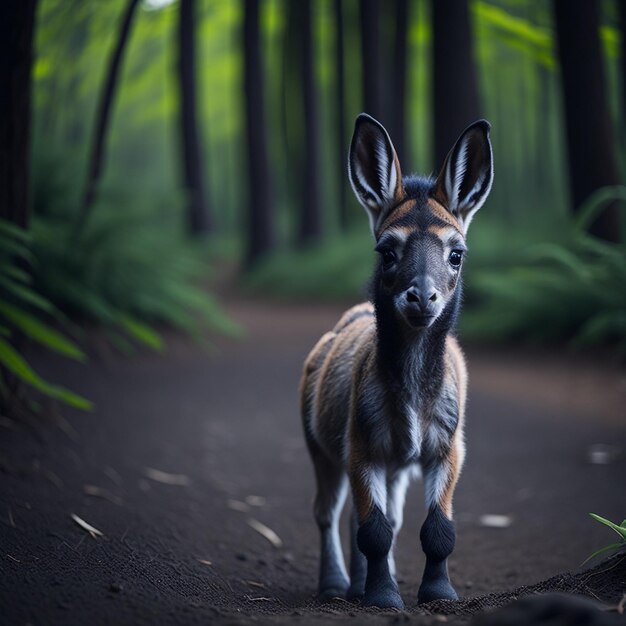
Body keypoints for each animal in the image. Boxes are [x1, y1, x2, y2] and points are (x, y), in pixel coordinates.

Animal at [300, 114, 490, 608]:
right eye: (386, 249)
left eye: (456, 253)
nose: (421, 296)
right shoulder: (360, 439)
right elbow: (375, 530)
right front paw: (383, 597)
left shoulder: (448, 442)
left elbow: (437, 529)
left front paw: (438, 593)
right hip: (318, 444)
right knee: (327, 512)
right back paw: (335, 585)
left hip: (395, 465)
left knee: (371, 516)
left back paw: (356, 584)